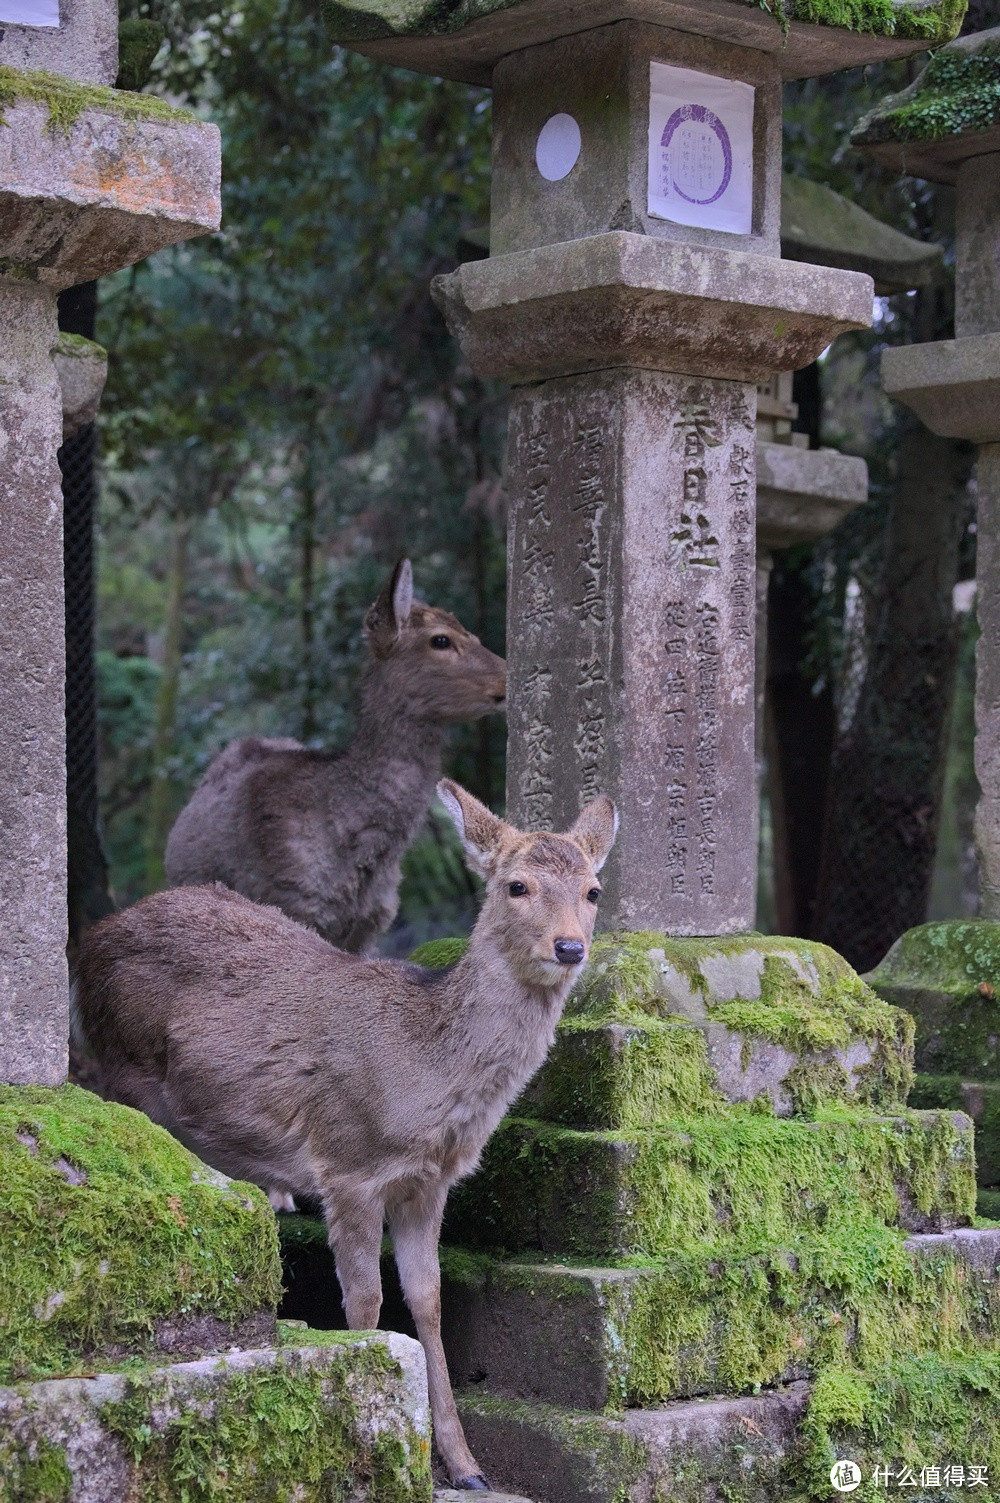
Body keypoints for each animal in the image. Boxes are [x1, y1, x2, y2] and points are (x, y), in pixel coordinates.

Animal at [72, 787, 616, 1490]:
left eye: (593, 889)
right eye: (516, 885)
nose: (569, 946)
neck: (425, 1083)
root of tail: (92, 937)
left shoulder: (428, 1184)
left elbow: (428, 1299)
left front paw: (465, 1465)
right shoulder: (349, 1164)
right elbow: (364, 1301)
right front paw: (388, 1429)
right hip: (123, 1073)